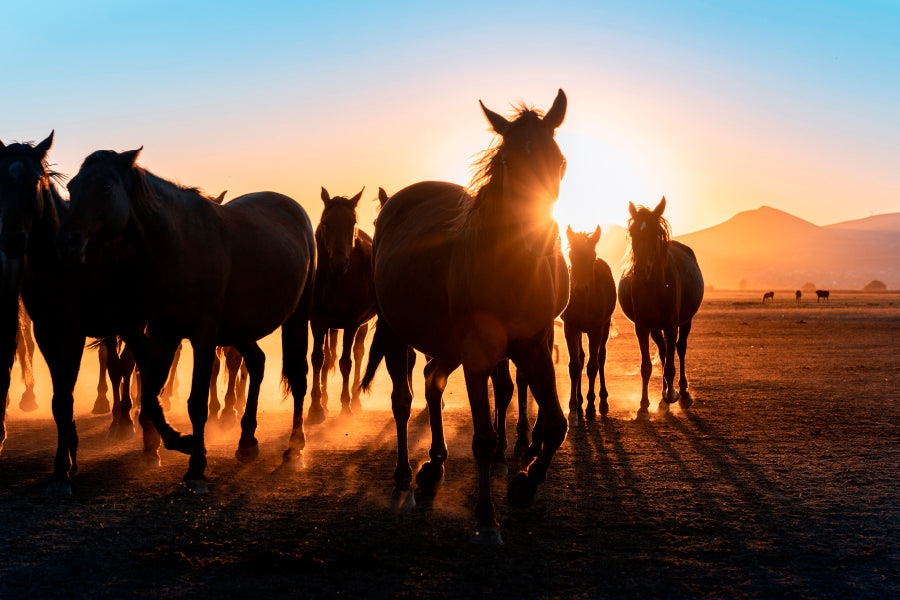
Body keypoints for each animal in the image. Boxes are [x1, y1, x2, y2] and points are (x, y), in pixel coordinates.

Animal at [51, 148, 316, 494]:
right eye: (72, 187)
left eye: (106, 186)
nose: (67, 241)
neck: (178, 245)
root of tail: (294, 210)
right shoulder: (164, 334)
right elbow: (150, 396)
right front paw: (181, 442)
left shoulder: (203, 337)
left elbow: (197, 403)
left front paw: (196, 468)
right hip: (239, 327)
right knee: (257, 362)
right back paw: (246, 441)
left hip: (297, 317)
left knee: (298, 379)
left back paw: (294, 450)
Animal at [310, 188, 376, 422]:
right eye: (326, 223)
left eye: (352, 223)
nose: (339, 263)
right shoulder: (318, 320)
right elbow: (318, 359)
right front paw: (316, 406)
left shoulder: (351, 322)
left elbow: (346, 362)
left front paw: (346, 406)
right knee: (328, 355)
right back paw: (325, 399)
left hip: (362, 324)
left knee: (358, 352)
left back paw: (355, 399)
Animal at [362, 89, 568, 544]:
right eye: (508, 163)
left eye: (560, 162)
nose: (541, 239)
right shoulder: (478, 354)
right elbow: (483, 438)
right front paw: (487, 517)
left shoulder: (534, 347)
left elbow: (557, 424)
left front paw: (525, 485)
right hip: (396, 332)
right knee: (403, 400)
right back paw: (405, 473)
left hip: (446, 344)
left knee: (433, 381)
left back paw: (434, 464)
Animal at [564, 226, 620, 422]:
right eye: (571, 255)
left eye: (592, 255)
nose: (580, 290)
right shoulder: (571, 327)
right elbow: (575, 365)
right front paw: (574, 407)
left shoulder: (595, 329)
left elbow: (593, 366)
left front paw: (590, 407)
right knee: (581, 358)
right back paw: (580, 402)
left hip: (604, 326)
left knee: (601, 357)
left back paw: (602, 402)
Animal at [620, 199, 704, 414]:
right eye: (632, 231)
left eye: (654, 232)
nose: (640, 270)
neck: (653, 286)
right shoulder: (642, 326)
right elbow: (646, 366)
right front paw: (644, 405)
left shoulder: (672, 324)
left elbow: (671, 366)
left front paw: (673, 395)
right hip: (656, 328)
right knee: (664, 351)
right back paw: (663, 398)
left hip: (684, 322)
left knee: (680, 349)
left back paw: (682, 394)